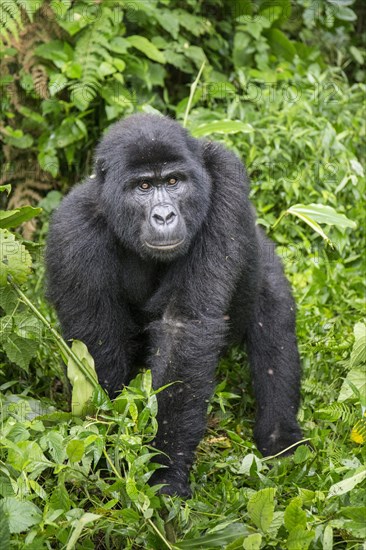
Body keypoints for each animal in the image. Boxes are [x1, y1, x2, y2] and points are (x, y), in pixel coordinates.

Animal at [46, 114, 304, 498]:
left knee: (273, 316)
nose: (165, 216)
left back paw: (280, 435)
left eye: (172, 181)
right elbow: (96, 354)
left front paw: (164, 469)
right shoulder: (71, 231)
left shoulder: (225, 177)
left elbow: (183, 327)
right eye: (143, 187)